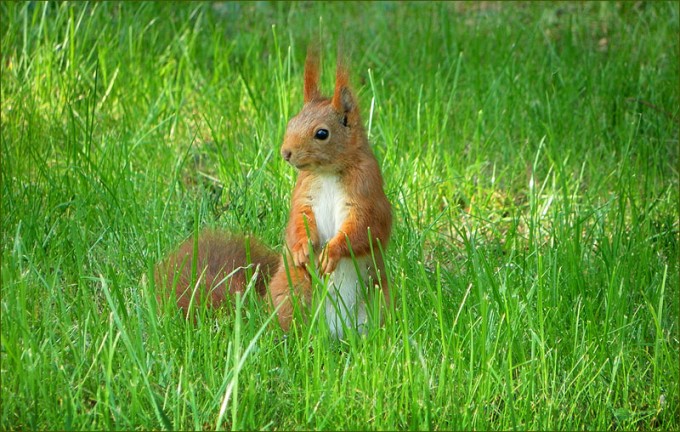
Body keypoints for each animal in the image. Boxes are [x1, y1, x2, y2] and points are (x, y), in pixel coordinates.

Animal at [155, 47, 392, 338]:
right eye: (291, 122)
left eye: (322, 133)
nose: (285, 153)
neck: (326, 174)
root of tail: (335, 334)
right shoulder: (304, 196)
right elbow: (299, 221)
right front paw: (302, 249)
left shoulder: (367, 191)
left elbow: (365, 227)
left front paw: (333, 252)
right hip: (291, 294)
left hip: (379, 298)